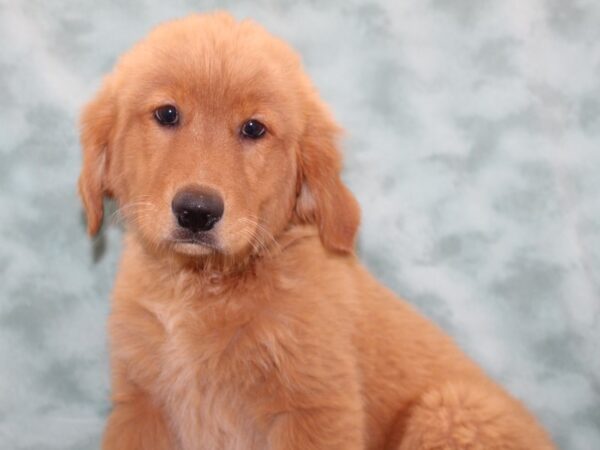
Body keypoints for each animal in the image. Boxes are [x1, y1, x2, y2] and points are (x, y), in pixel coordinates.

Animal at [77, 11, 556, 450]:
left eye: (254, 128)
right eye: (167, 114)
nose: (197, 211)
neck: (201, 287)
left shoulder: (315, 410)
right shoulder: (141, 407)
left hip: (449, 411)